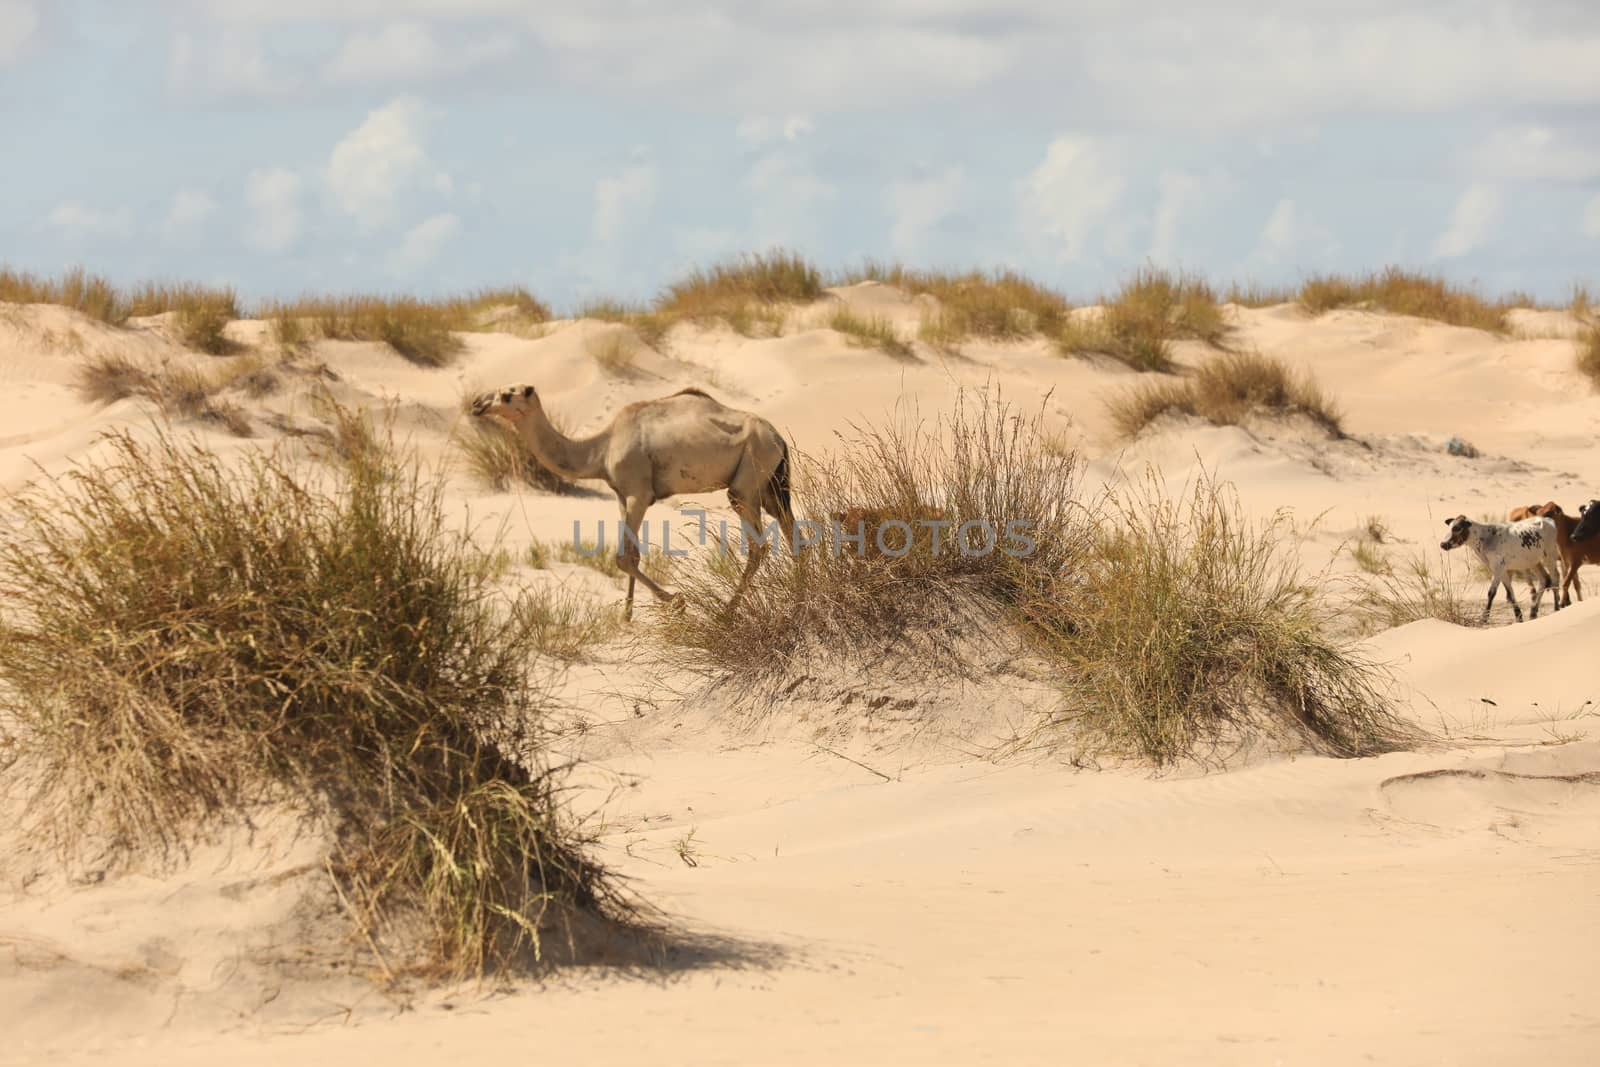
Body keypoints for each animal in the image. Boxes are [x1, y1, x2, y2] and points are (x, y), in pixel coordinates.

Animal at [467, 383, 793, 617]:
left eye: (507, 394)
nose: (477, 404)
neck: (601, 449)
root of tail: (779, 438)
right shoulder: (622, 497)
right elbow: (633, 555)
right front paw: (627, 615)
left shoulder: (639, 493)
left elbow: (622, 558)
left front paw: (676, 602)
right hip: (771, 484)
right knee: (790, 528)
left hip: (748, 476)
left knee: (758, 544)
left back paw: (726, 613)